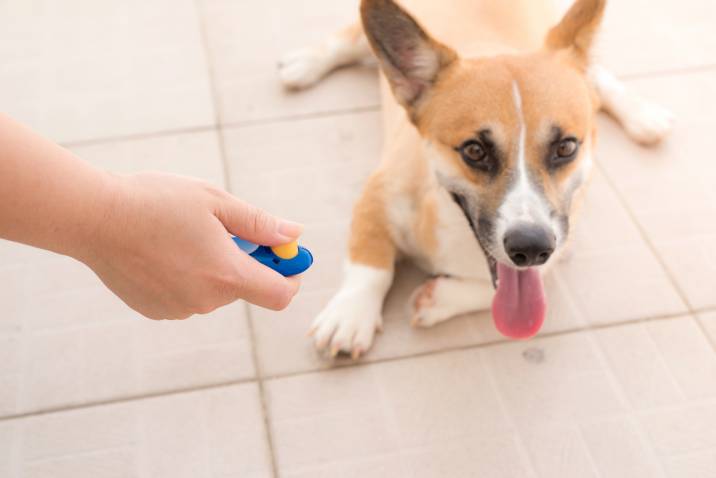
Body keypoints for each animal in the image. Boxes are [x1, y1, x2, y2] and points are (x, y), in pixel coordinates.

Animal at [278, 0, 672, 358]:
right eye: (475, 151)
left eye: (566, 147)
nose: (531, 248)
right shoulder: (378, 194)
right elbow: (370, 263)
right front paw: (349, 316)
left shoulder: (561, 241)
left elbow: (506, 285)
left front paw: (436, 299)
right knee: (350, 37)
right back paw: (304, 65)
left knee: (598, 74)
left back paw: (642, 116)